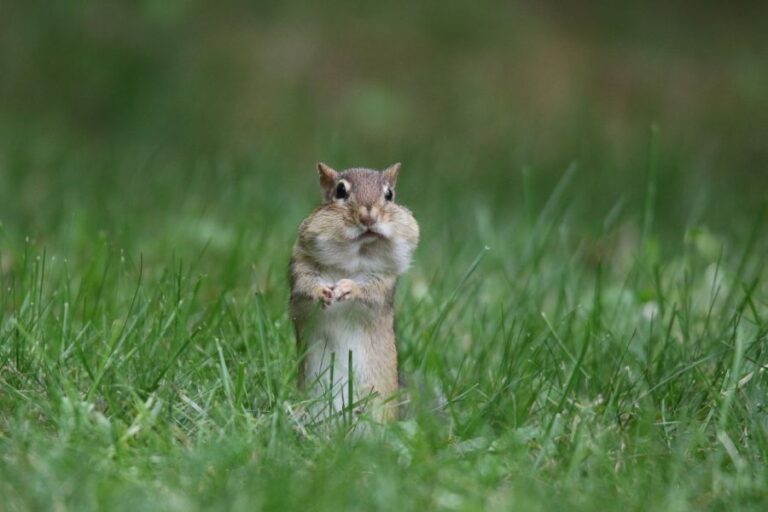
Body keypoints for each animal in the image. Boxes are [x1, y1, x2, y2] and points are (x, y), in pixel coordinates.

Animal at [289, 162, 419, 422]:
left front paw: (349, 287)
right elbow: (305, 286)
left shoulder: (384, 280)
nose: (368, 216)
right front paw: (322, 291)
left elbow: (369, 291)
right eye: (340, 191)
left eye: (389, 194)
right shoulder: (300, 267)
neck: (353, 258)